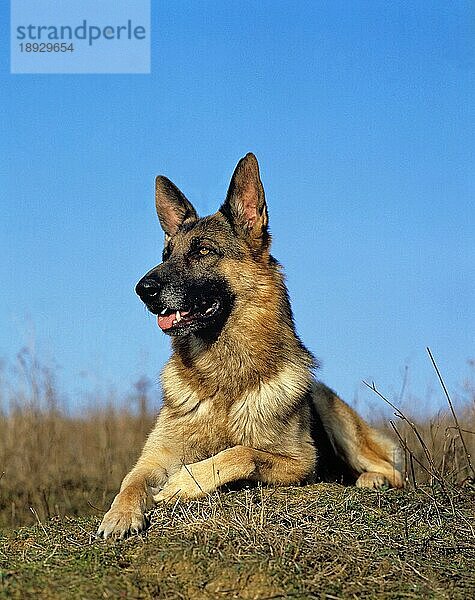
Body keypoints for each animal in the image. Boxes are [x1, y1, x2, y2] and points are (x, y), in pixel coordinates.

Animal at [98, 154, 404, 540]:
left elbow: (242, 453)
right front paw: (120, 514)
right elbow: (131, 481)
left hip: (332, 411)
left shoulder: (300, 463)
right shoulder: (154, 457)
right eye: (166, 254)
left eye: (203, 251)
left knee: (393, 470)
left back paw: (371, 480)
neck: (222, 377)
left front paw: (185, 482)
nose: (143, 290)